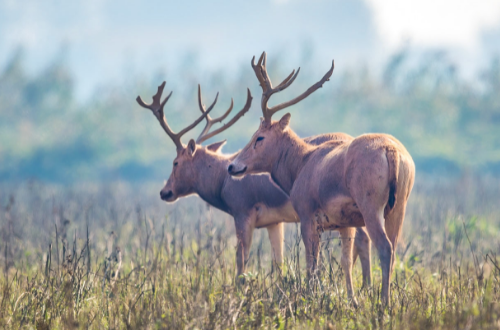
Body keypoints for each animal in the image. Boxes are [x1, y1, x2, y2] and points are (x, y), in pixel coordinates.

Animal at [136, 80, 372, 282]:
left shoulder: (243, 212)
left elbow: (241, 263)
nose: (165, 192)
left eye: (175, 162)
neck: (222, 179)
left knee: (363, 238)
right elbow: (278, 262)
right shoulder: (274, 222)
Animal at [229, 52, 416, 306]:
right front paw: (352, 300)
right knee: (394, 249)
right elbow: (345, 261)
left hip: (371, 207)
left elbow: (312, 263)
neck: (302, 164)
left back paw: (383, 303)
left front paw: (311, 297)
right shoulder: (346, 223)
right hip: (398, 208)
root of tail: (391, 151)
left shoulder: (308, 216)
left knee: (385, 247)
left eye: (259, 137)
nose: (232, 166)